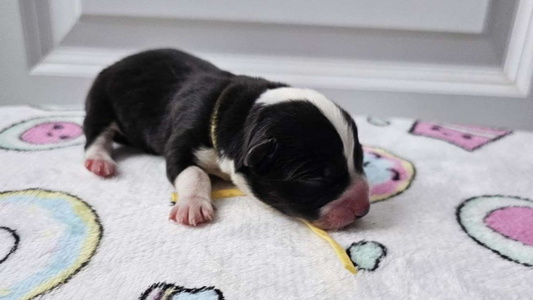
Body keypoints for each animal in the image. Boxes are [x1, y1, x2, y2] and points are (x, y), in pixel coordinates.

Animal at [85, 48, 372, 230]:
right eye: (315, 179)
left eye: (359, 159)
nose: (364, 210)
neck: (233, 113)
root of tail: (117, 62)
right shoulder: (182, 141)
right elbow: (194, 172)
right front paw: (192, 205)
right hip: (101, 100)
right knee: (96, 134)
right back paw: (100, 162)